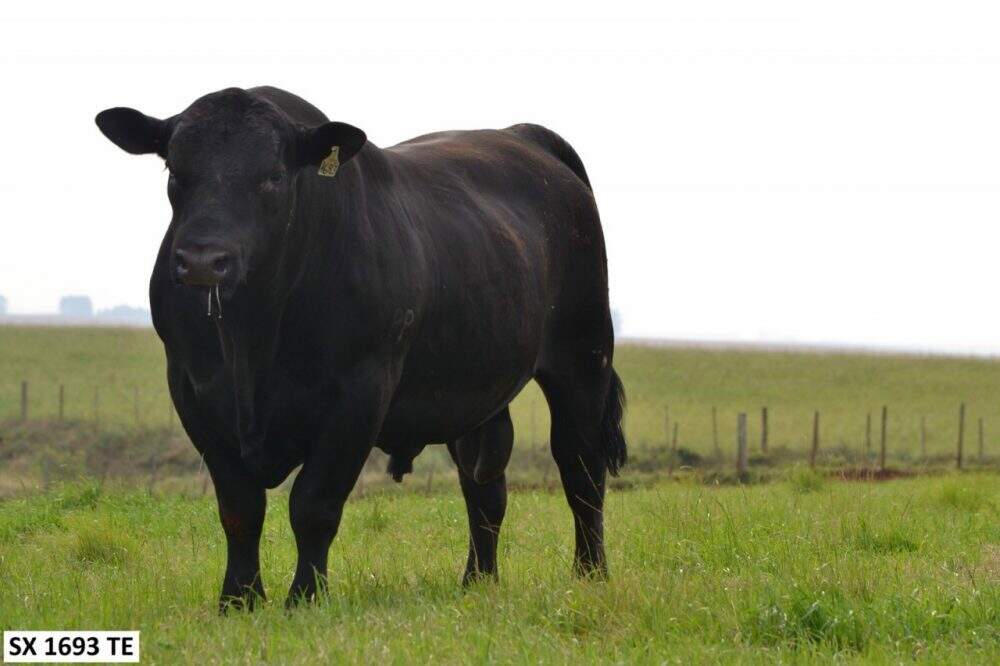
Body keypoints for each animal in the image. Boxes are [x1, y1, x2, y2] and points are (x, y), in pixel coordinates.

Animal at [95, 86, 627, 610]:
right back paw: (477, 582)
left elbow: (313, 505)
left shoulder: (358, 394)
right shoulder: (193, 392)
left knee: (580, 469)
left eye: (273, 176)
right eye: (174, 171)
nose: (204, 260)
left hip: (583, 356)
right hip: (476, 385)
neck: (252, 335)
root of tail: (522, 135)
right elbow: (240, 509)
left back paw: (590, 574)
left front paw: (305, 599)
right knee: (485, 486)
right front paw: (237, 601)